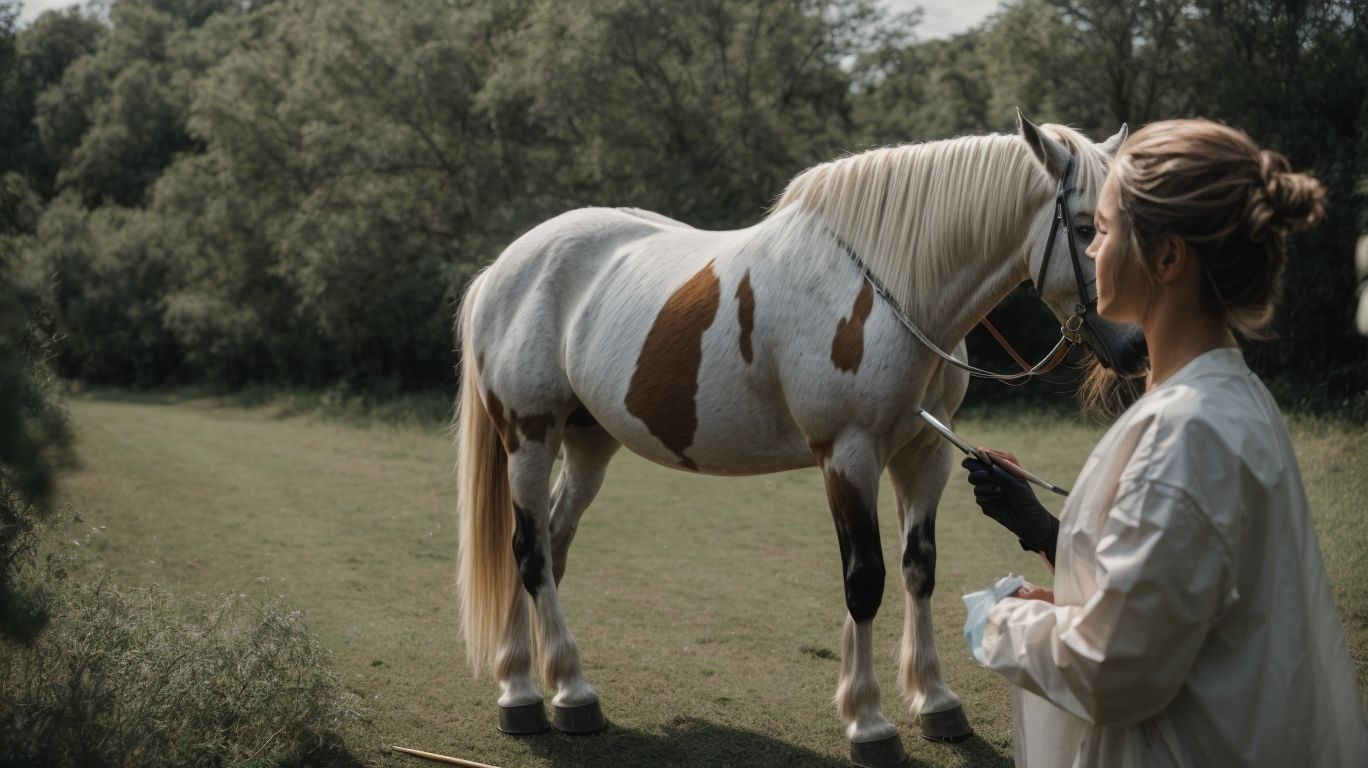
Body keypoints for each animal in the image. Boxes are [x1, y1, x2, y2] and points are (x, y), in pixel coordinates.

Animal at [453, 114, 1141, 766]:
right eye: (1087, 227)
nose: (1136, 345)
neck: (888, 289)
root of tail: (505, 267)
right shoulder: (847, 455)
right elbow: (865, 581)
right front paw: (869, 723)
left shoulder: (926, 455)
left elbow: (919, 570)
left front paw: (937, 702)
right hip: (528, 436)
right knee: (528, 551)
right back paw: (550, 695)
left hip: (588, 443)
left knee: (549, 544)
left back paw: (534, 683)